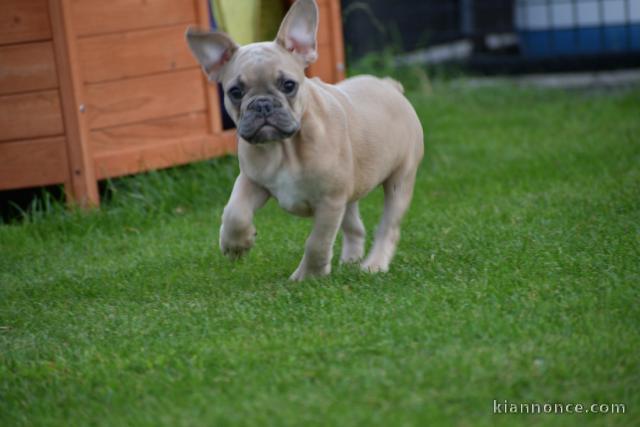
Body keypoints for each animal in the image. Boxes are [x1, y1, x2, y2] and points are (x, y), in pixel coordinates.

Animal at [186, 0, 424, 280]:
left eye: (288, 85)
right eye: (235, 92)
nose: (263, 104)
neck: (284, 149)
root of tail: (389, 86)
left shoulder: (330, 202)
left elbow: (317, 242)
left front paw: (308, 276)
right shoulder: (252, 181)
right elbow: (235, 212)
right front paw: (236, 244)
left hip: (400, 179)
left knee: (388, 226)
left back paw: (373, 264)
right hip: (349, 192)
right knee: (354, 226)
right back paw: (350, 260)